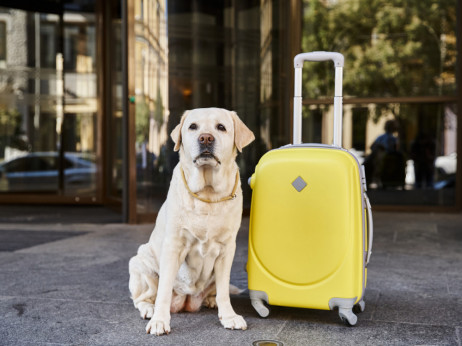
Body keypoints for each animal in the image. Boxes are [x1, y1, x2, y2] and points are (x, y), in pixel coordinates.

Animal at [128, 107, 254, 334]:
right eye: (193, 126)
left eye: (221, 127)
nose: (205, 138)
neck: (208, 195)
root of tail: (186, 301)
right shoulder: (174, 246)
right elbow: (163, 290)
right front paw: (160, 320)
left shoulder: (227, 249)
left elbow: (224, 290)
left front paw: (229, 316)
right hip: (140, 262)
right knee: (143, 297)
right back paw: (149, 309)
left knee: (216, 290)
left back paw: (211, 301)